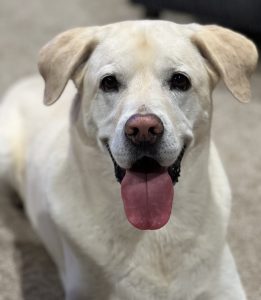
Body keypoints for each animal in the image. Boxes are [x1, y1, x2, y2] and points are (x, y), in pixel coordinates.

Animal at [0, 19, 256, 298]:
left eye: (180, 80)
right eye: (109, 83)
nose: (143, 130)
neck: (156, 232)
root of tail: (28, 81)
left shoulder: (225, 287)